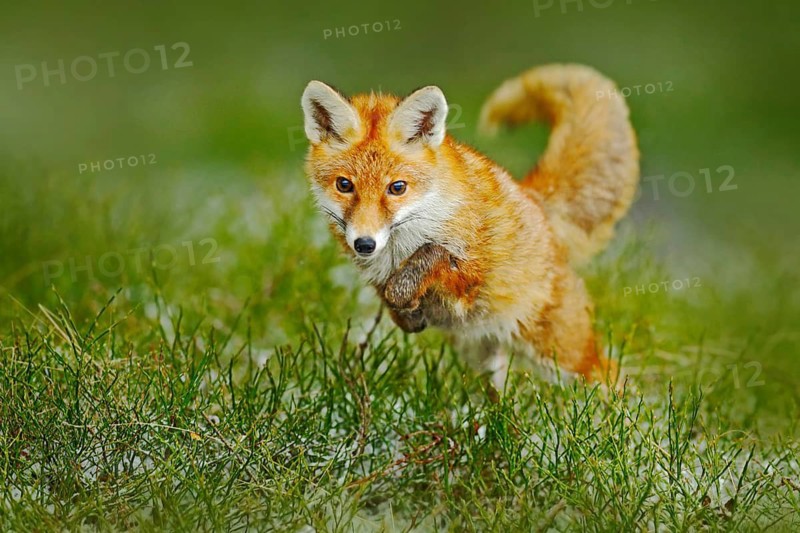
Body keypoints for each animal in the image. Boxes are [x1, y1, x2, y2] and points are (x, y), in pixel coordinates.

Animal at [300, 64, 639, 387]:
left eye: (397, 188)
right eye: (345, 185)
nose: (365, 244)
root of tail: (537, 203)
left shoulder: (470, 275)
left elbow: (430, 255)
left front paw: (406, 292)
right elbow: (391, 297)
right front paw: (407, 314)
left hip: (560, 352)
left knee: (611, 377)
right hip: (481, 355)